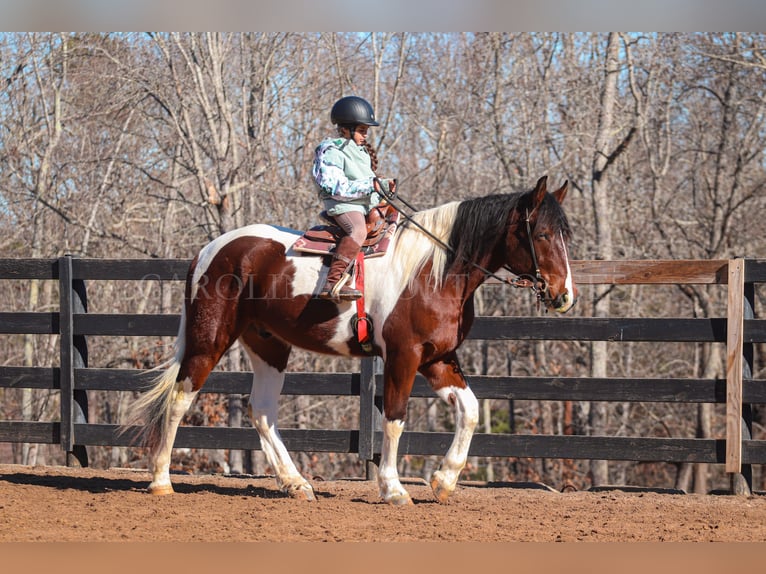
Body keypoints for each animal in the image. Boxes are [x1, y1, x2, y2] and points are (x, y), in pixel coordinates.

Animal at [123, 173, 580, 506]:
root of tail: (209, 250)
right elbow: (393, 419)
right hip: (209, 340)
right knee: (179, 398)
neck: (433, 271)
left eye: (565, 235)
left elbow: (470, 410)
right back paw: (160, 480)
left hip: (269, 345)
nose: (564, 296)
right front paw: (393, 489)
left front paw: (444, 480)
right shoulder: (402, 357)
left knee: (262, 410)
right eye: (541, 235)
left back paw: (296, 483)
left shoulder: (439, 358)